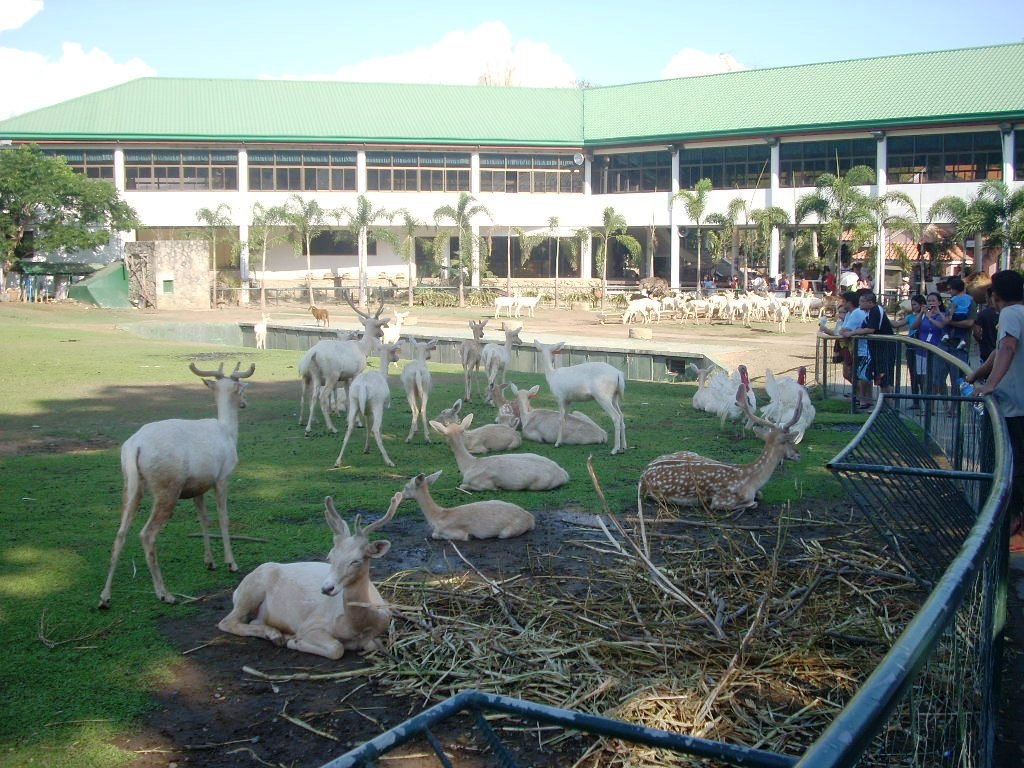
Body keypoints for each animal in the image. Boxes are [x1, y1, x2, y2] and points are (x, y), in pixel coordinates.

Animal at [98, 360, 256, 606]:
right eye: (242, 389)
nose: (245, 403)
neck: (229, 433)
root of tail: (135, 446)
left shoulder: (198, 486)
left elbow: (204, 520)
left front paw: (210, 562)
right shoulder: (222, 477)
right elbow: (223, 518)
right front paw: (231, 563)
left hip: (130, 484)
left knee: (121, 532)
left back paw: (105, 597)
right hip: (167, 486)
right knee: (147, 534)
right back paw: (165, 594)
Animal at [217, 499, 399, 663]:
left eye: (356, 561)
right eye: (330, 556)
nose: (327, 588)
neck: (355, 627)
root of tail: (236, 591)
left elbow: (371, 645)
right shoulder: (310, 624)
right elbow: (336, 648)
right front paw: (294, 641)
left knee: (253, 620)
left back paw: (275, 633)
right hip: (251, 590)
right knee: (227, 622)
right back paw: (276, 635)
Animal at [397, 468, 536, 540]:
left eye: (406, 487)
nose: (400, 495)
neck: (438, 517)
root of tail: (531, 519)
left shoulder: (456, 532)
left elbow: (435, 535)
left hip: (509, 531)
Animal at [425, 415, 569, 493]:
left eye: (445, 435)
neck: (469, 465)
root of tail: (564, 474)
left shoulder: (483, 484)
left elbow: (462, 486)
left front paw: (498, 488)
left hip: (539, 484)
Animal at [638, 385, 798, 512]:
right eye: (788, 441)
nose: (797, 453)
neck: (751, 480)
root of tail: (643, 474)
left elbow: (760, 495)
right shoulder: (722, 500)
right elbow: (752, 504)